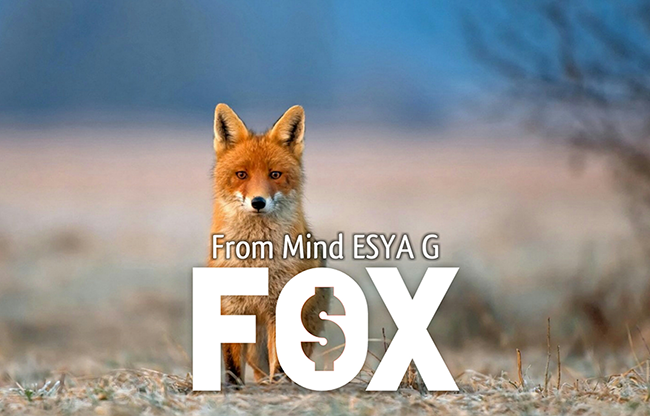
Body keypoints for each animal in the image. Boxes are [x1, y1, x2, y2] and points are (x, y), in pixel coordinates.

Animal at [207, 103, 330, 386]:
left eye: (275, 174)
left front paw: (279, 387)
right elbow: (232, 366)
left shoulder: (281, 307)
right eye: (241, 174)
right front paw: (234, 388)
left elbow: (282, 364)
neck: (257, 260)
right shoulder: (231, 307)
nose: (258, 202)